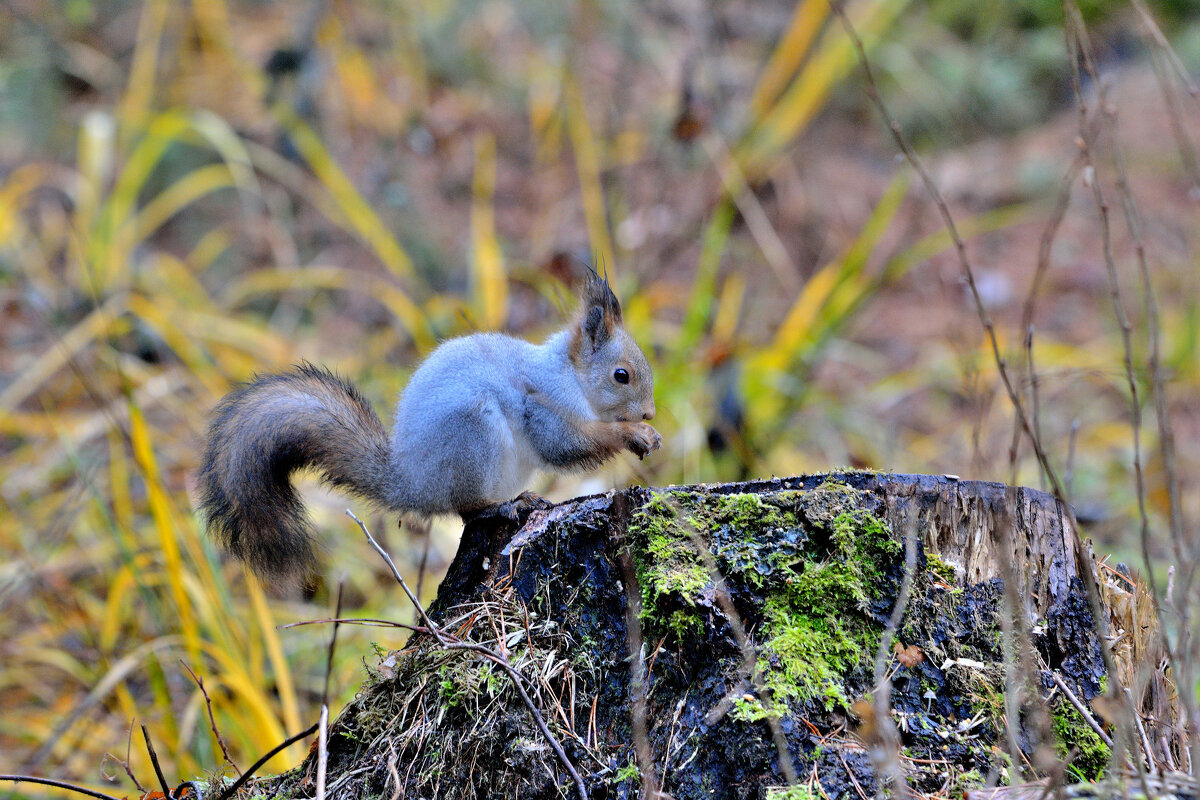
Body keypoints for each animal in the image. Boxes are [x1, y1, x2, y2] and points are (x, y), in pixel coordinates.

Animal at [200, 272, 662, 585]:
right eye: (621, 375)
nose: (650, 414)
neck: (571, 377)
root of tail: (411, 481)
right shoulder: (542, 405)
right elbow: (565, 444)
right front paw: (631, 435)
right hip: (474, 436)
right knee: (466, 509)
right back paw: (506, 506)